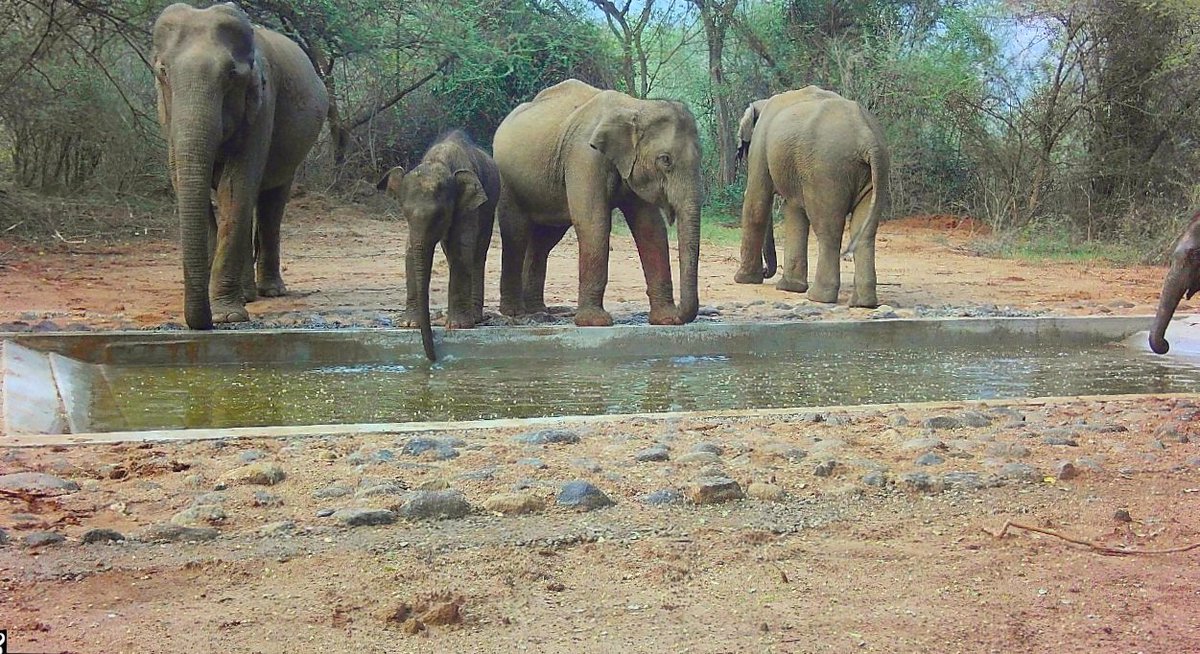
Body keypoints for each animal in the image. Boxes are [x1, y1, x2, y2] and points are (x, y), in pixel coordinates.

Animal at [152, 3, 328, 329]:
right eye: (163, 72)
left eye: (231, 74)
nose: (203, 323)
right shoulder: (167, 118)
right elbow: (185, 182)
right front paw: (225, 309)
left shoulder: (263, 105)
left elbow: (235, 187)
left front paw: (227, 315)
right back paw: (248, 294)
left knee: (270, 200)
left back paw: (270, 291)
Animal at [376, 130, 500, 362]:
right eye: (405, 213)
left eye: (441, 215)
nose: (433, 359)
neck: (439, 161)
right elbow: (409, 251)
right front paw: (409, 324)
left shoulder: (467, 207)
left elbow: (461, 247)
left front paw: (458, 326)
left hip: (490, 204)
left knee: (478, 252)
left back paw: (475, 317)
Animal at [492, 79, 702, 327]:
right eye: (665, 160)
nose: (680, 314)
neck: (635, 106)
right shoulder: (584, 157)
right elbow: (594, 223)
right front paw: (595, 322)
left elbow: (650, 228)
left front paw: (665, 319)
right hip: (507, 181)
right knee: (516, 233)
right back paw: (516, 313)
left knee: (543, 240)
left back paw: (538, 311)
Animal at [732, 86, 890, 308]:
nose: (765, 271)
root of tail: (866, 136)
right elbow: (794, 209)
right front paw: (790, 287)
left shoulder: (760, 146)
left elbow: (756, 202)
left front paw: (743, 279)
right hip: (876, 172)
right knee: (864, 232)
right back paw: (863, 303)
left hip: (826, 170)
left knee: (829, 229)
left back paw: (818, 297)